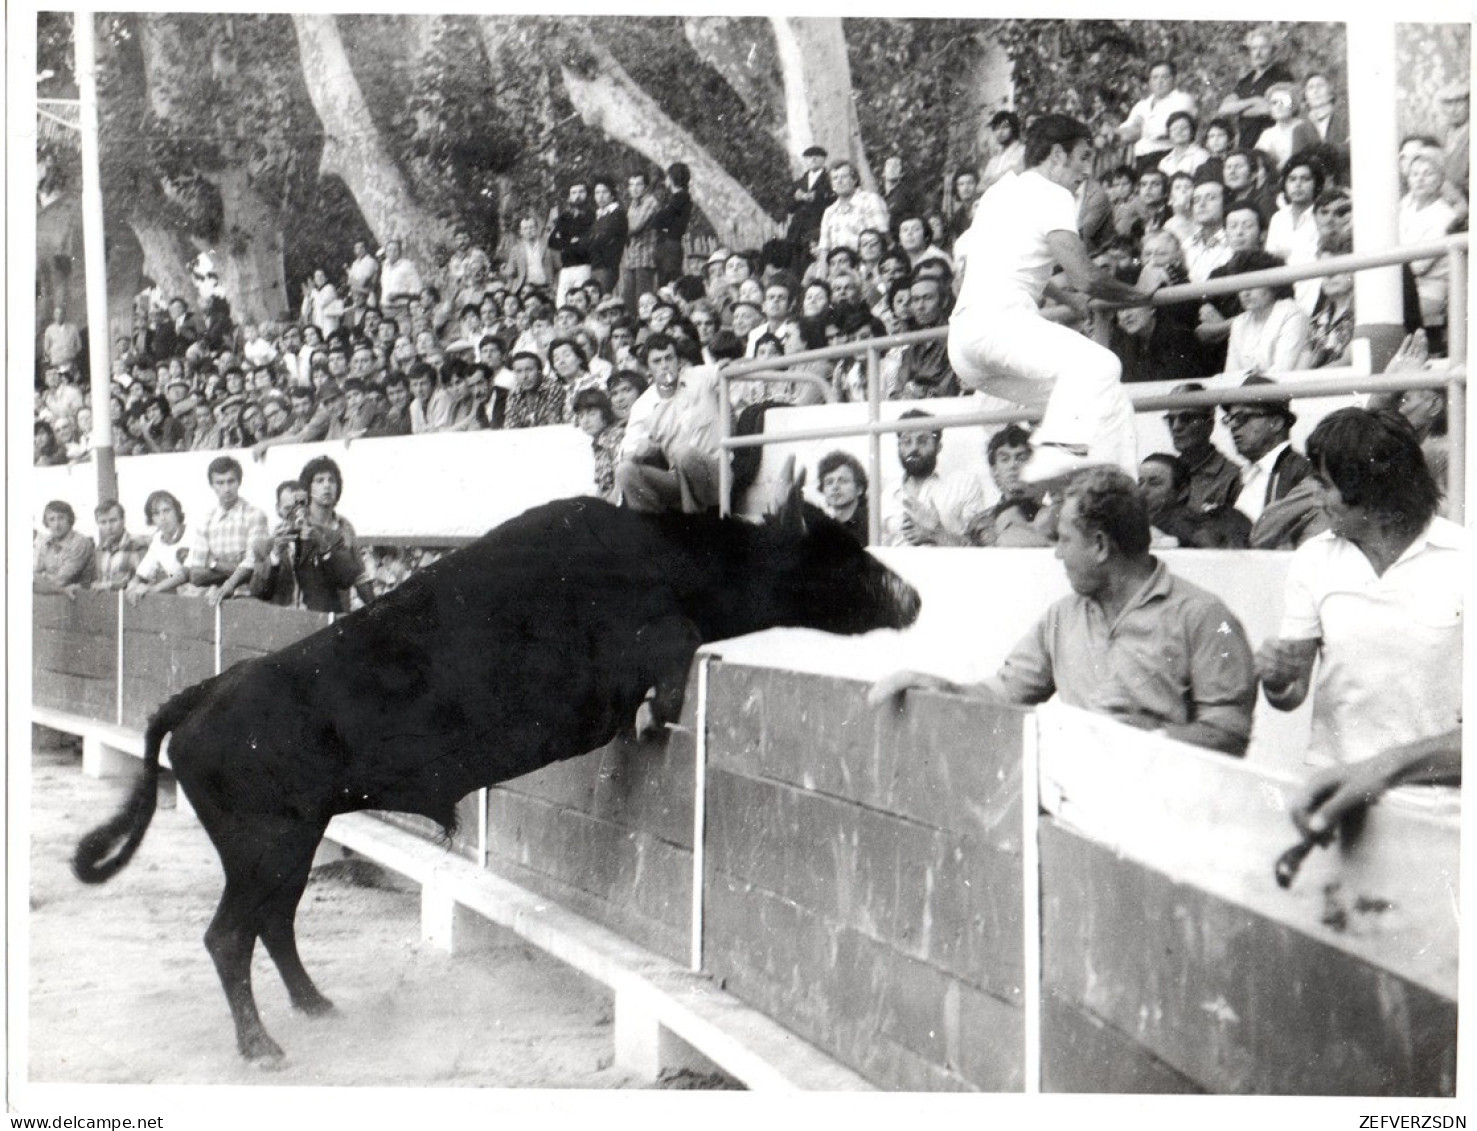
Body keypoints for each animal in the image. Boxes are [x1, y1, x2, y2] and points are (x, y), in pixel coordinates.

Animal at [74, 496, 921, 1063]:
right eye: (845, 553)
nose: (912, 595)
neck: (654, 553)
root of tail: (199, 695)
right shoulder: (644, 641)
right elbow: (674, 650)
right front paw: (659, 718)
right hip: (265, 844)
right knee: (230, 934)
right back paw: (260, 1045)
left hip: (292, 840)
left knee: (272, 925)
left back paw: (317, 1006)